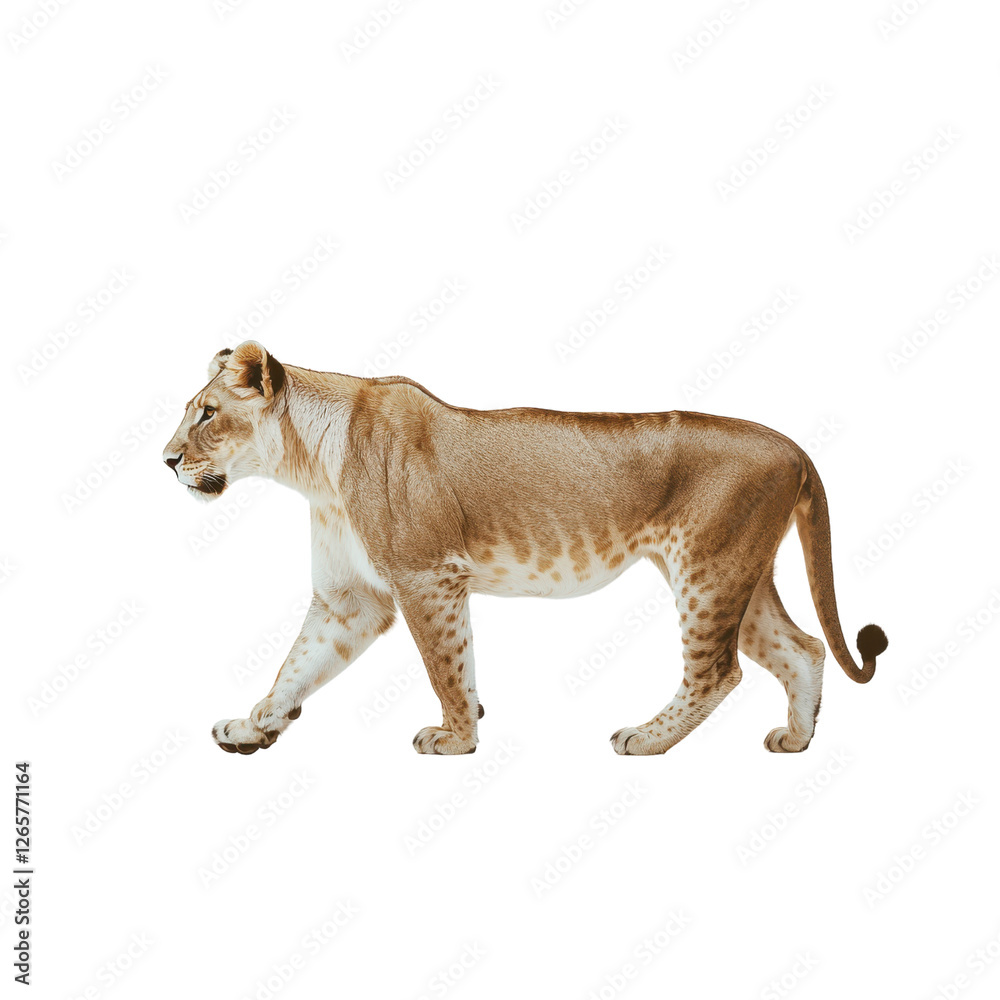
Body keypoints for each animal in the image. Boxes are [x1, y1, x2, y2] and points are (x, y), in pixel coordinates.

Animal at [162, 341, 887, 756]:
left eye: (207, 413)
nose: (166, 460)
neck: (312, 467)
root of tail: (792, 447)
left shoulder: (427, 575)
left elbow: (446, 665)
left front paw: (456, 739)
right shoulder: (352, 599)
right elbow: (296, 666)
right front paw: (254, 727)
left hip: (707, 568)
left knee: (718, 671)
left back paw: (646, 739)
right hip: (742, 571)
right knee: (803, 648)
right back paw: (795, 739)